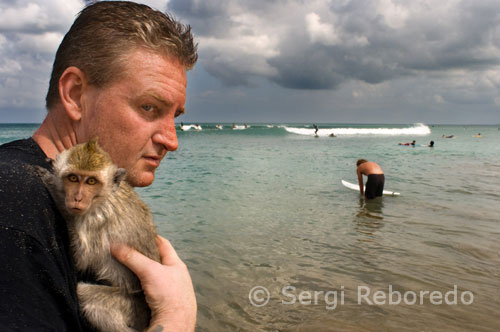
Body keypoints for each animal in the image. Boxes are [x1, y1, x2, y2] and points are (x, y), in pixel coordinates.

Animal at [35, 138, 160, 332]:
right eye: (73, 178)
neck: (104, 196)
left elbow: (82, 258)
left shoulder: (94, 220)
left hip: (129, 306)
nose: (77, 198)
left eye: (91, 181)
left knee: (87, 298)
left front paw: (52, 186)